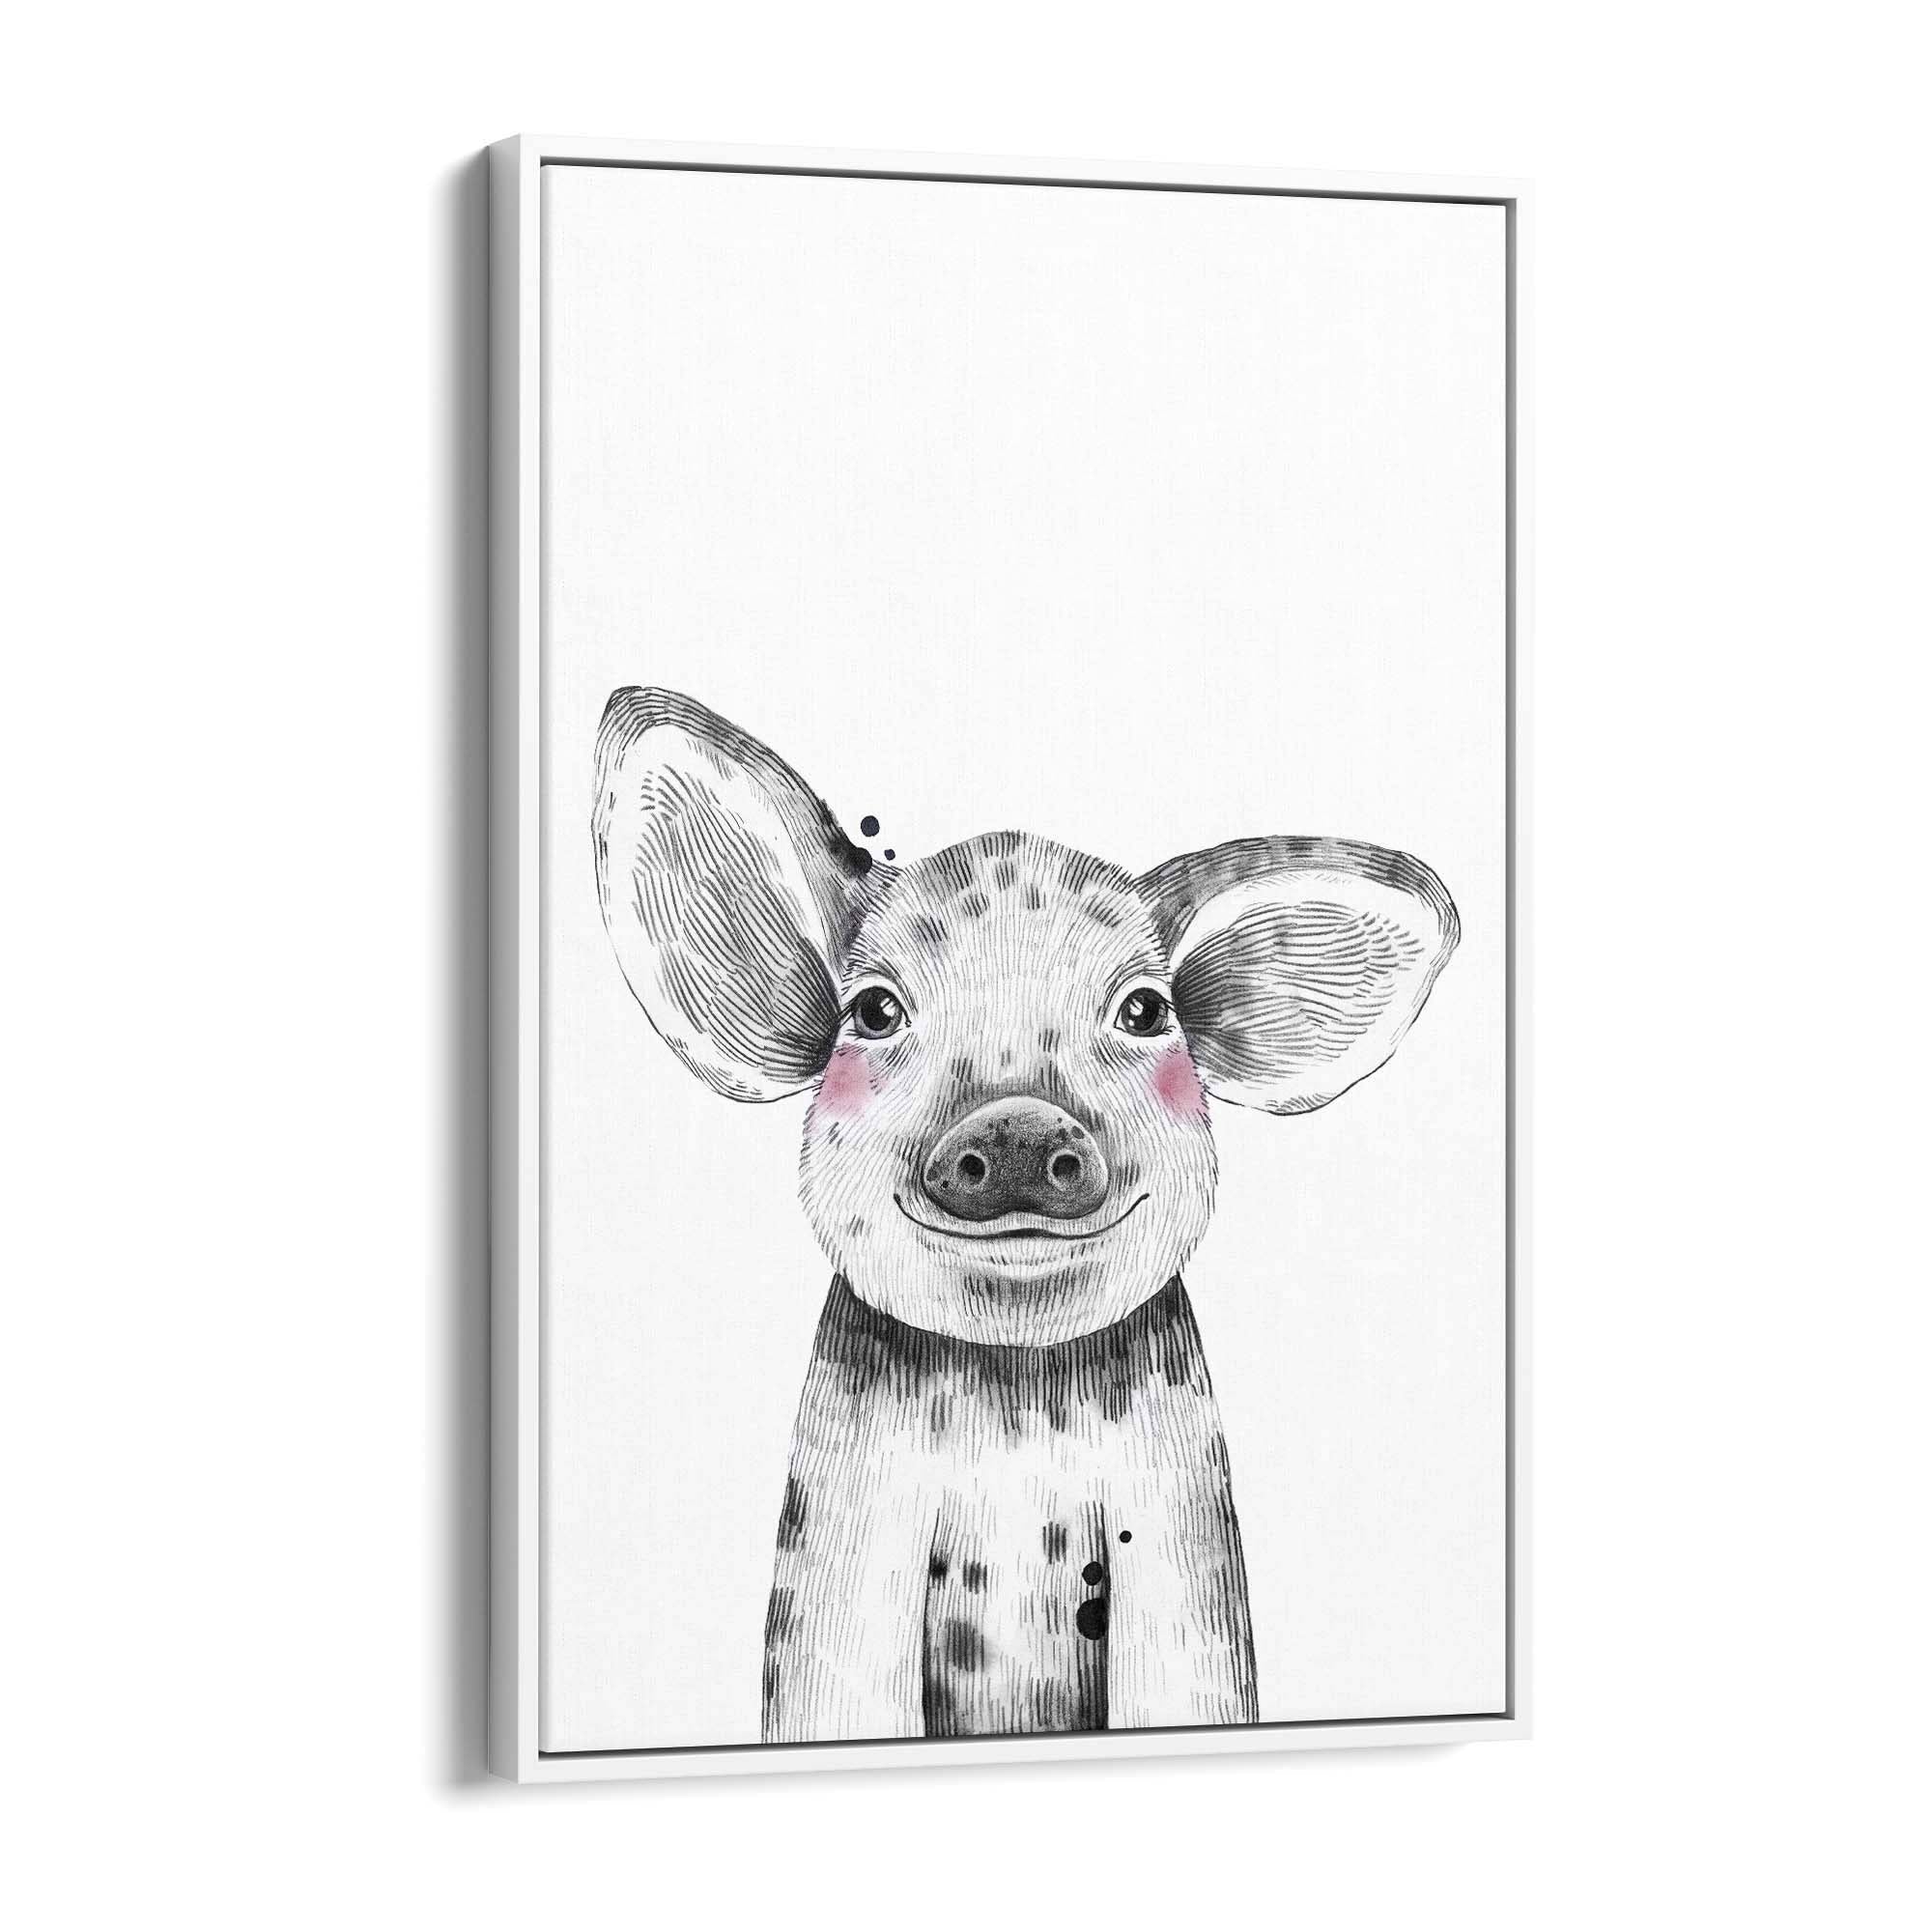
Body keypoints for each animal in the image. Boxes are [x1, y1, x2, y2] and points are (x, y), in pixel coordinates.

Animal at [593, 687, 1459, 1743]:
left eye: (1144, 1010)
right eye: (873, 1011)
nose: (1013, 1125)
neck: (1014, 1409)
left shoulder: (1182, 1508)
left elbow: (1187, 1675)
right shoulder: (841, 1511)